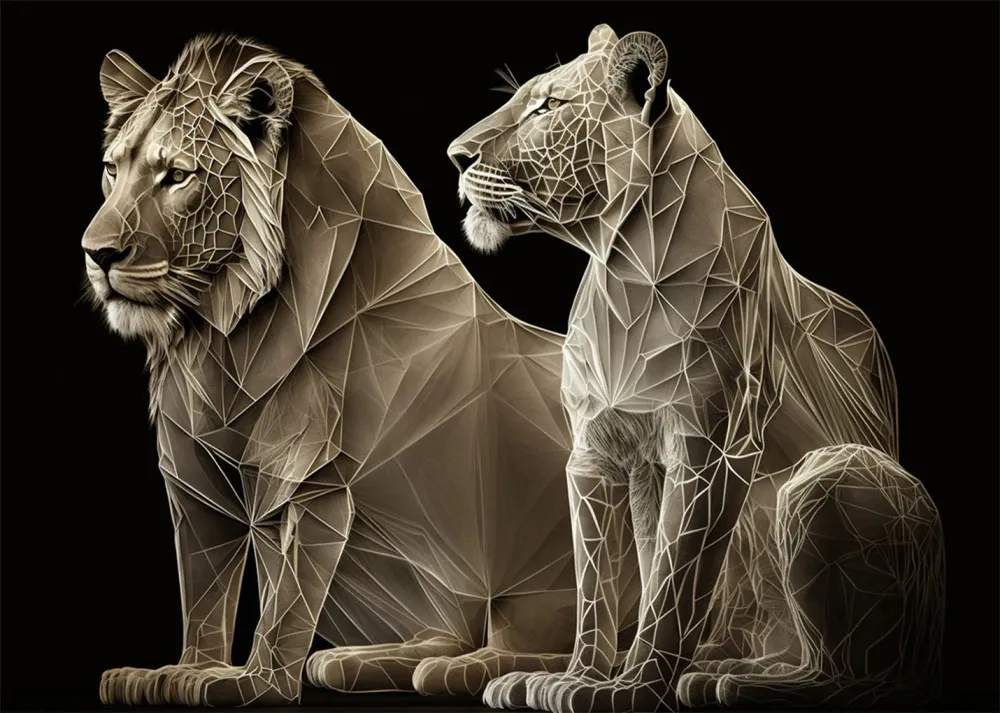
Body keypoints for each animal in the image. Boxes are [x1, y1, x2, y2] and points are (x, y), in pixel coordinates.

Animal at [81, 34, 644, 707]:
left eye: (177, 175)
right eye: (113, 170)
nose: (96, 253)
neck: (219, 336)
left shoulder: (317, 482)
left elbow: (287, 603)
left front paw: (252, 682)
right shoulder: (196, 490)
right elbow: (205, 592)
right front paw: (182, 670)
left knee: (548, 644)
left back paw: (478, 672)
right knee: (442, 634)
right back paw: (357, 660)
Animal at [445, 24, 946, 712]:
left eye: (549, 107)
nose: (454, 155)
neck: (623, 268)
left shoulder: (712, 446)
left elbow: (674, 580)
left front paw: (636, 687)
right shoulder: (598, 452)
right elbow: (603, 579)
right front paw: (577, 678)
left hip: (828, 479)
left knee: (855, 676)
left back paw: (730, 681)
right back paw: (722, 664)